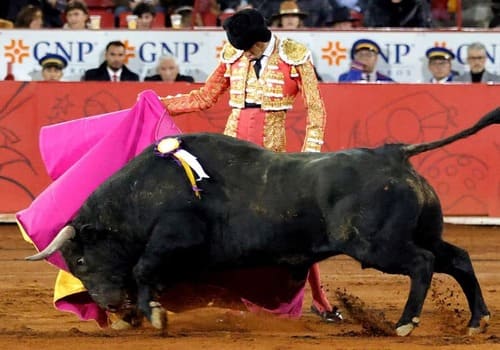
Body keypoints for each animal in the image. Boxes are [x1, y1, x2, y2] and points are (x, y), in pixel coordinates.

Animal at [28, 108, 500, 334]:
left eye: (81, 261)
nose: (108, 305)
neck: (141, 194)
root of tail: (395, 153)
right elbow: (147, 276)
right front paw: (140, 314)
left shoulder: (175, 236)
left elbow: (144, 269)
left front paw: (153, 316)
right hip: (423, 232)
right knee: (457, 258)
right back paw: (477, 320)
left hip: (378, 246)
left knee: (423, 263)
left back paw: (404, 324)